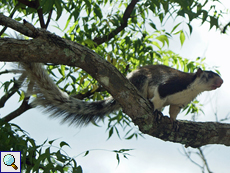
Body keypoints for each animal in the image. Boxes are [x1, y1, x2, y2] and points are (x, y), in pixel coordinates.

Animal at [19, 62, 223, 125]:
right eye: (210, 75)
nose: (221, 81)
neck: (191, 89)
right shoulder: (169, 86)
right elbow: (158, 98)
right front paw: (157, 112)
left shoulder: (179, 102)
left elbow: (174, 112)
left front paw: (174, 122)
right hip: (140, 81)